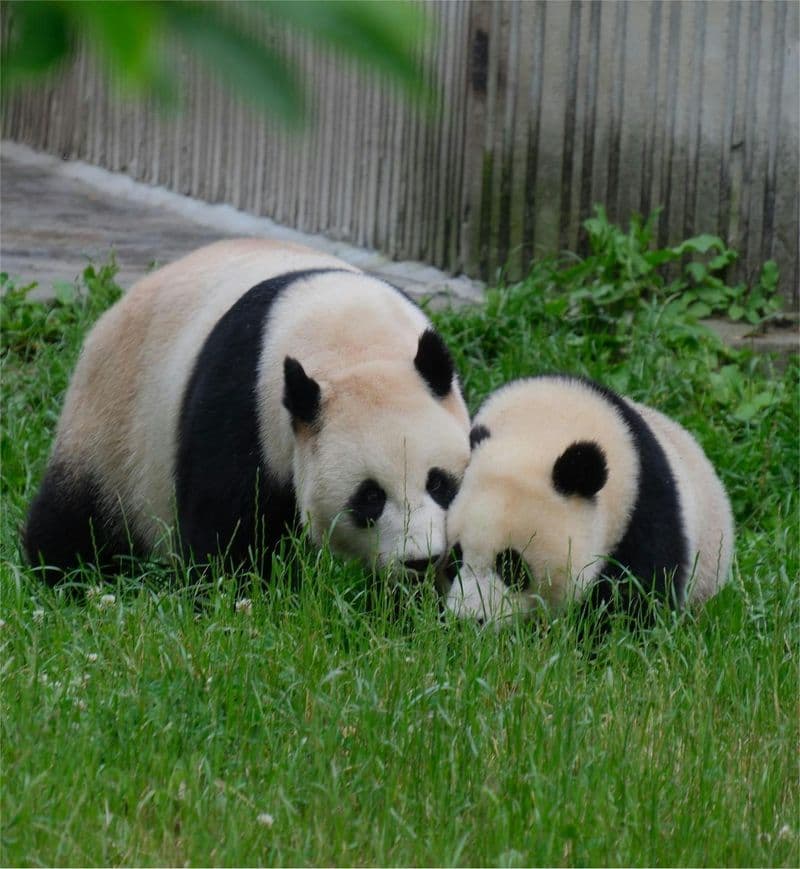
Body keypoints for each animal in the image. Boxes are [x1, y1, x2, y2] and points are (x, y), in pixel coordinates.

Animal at [24, 238, 471, 582]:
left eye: (439, 483)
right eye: (370, 497)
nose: (422, 560)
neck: (354, 343)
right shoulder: (244, 403)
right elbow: (226, 524)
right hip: (114, 425)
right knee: (76, 518)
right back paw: (65, 572)